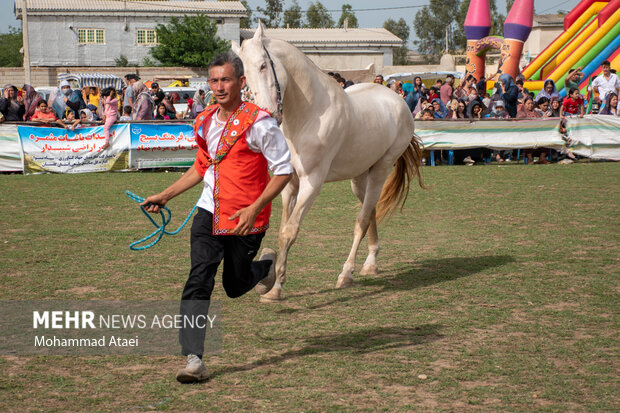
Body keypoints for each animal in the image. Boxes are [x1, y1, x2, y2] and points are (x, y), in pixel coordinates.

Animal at [230, 25, 424, 302]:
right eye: (244, 74)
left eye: (263, 65)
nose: (266, 113)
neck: (310, 115)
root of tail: (398, 101)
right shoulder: (289, 183)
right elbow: (282, 230)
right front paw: (274, 282)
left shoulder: (312, 183)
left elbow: (290, 231)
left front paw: (276, 288)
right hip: (359, 178)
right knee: (370, 211)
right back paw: (371, 264)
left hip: (380, 171)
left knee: (361, 220)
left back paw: (347, 274)